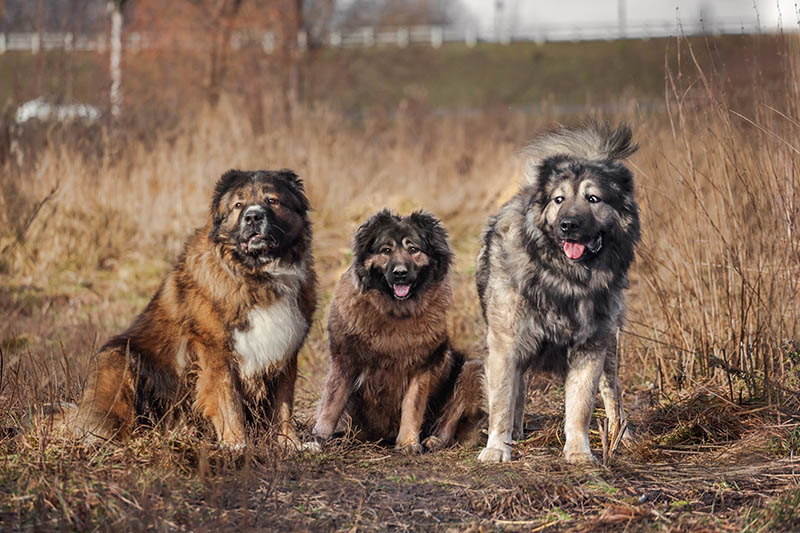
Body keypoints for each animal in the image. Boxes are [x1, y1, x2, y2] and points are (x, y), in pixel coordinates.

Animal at [61, 168, 316, 446]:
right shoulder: (216, 352)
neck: (256, 274)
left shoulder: (284, 351)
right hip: (117, 358)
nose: (252, 216)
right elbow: (229, 403)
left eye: (272, 200)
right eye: (238, 205)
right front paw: (237, 444)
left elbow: (283, 405)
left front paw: (291, 444)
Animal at [310, 210, 482, 450]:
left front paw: (408, 442)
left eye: (413, 249)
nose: (400, 273)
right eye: (386, 250)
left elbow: (412, 406)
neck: (395, 310)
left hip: (471, 370)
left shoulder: (421, 366)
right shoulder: (344, 361)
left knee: (449, 420)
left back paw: (434, 440)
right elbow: (330, 405)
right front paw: (318, 438)